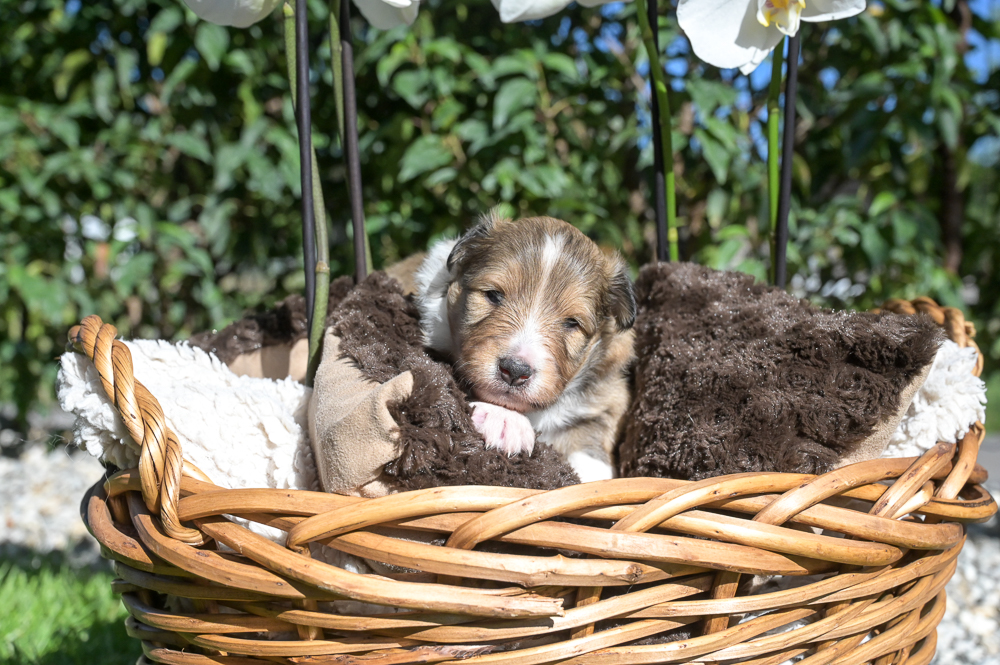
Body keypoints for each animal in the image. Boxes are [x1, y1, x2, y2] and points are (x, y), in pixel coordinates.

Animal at [414, 210, 636, 482]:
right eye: (493, 295)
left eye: (572, 323)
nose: (515, 370)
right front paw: (503, 419)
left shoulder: (609, 396)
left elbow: (591, 436)